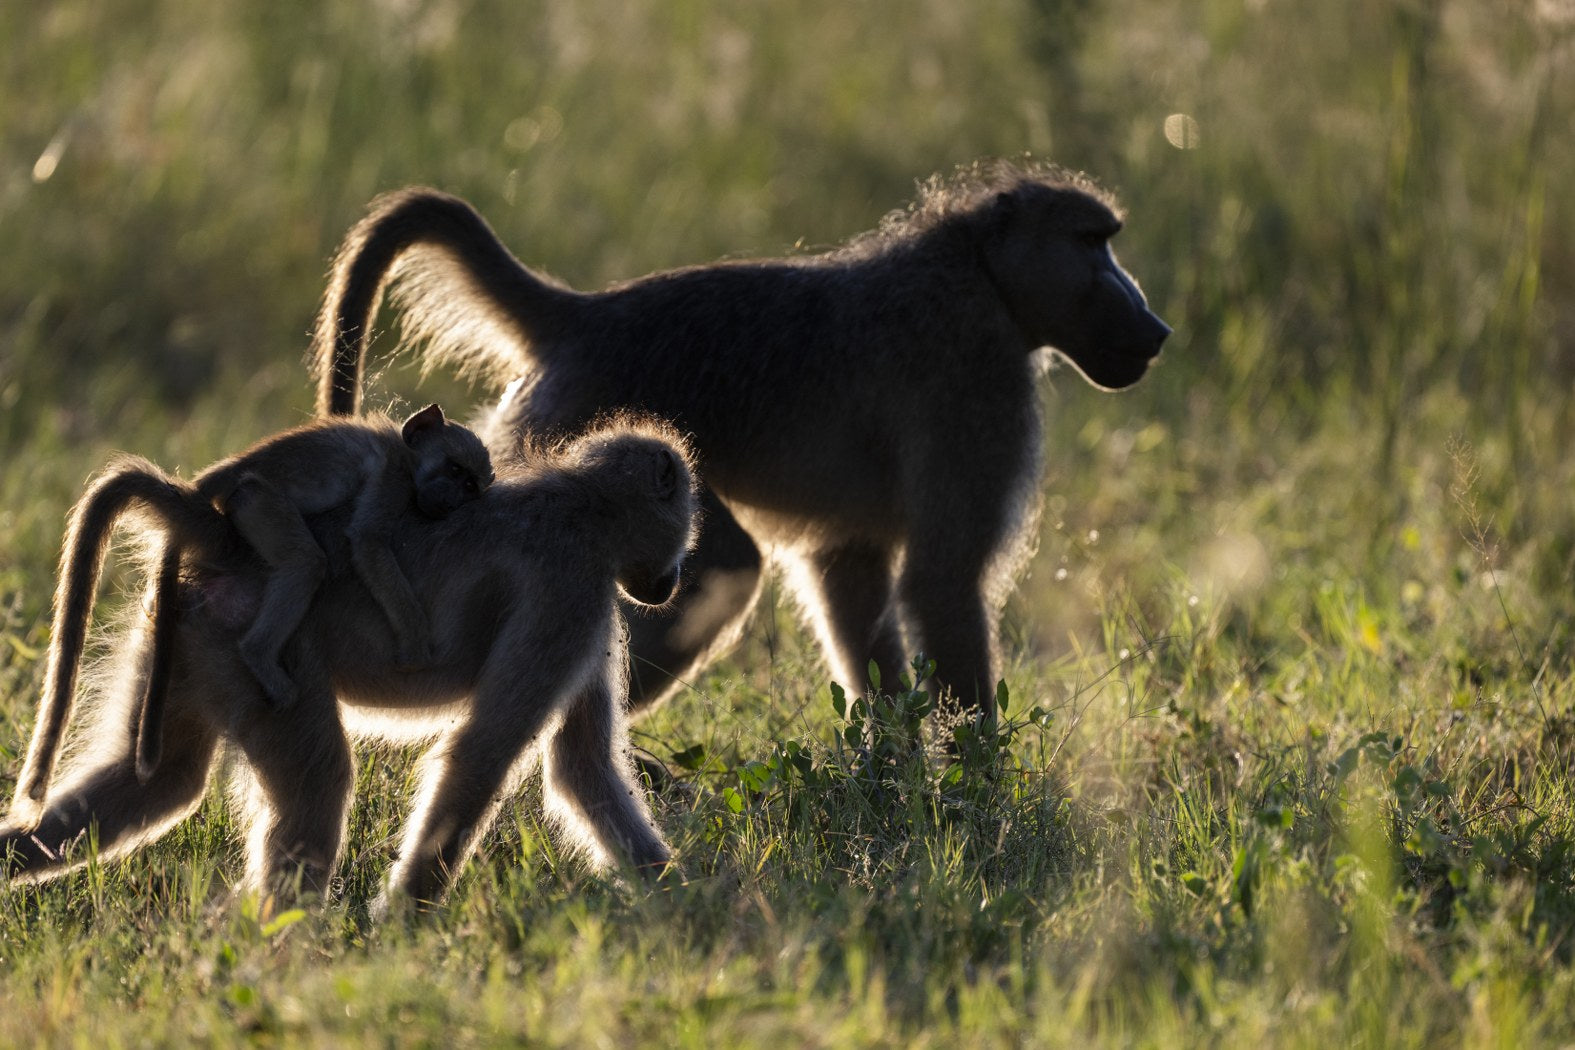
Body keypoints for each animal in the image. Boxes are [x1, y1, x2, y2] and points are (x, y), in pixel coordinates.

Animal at [9, 405, 493, 819]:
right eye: (455, 470)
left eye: (472, 486)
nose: (449, 501)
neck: (405, 451)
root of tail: (218, 477)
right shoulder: (391, 478)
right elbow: (368, 541)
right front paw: (415, 641)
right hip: (257, 503)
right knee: (304, 562)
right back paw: (260, 657)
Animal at [311, 159, 1171, 723]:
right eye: (1093, 241)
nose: (1155, 326)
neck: (977, 269)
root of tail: (580, 317)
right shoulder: (979, 383)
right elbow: (943, 580)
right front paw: (984, 799)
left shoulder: (852, 533)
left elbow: (852, 578)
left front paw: (896, 783)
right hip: (578, 438)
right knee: (718, 566)